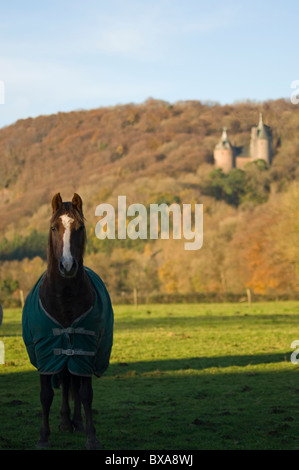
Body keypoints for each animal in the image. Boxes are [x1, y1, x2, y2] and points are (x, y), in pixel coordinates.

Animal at [22, 193, 113, 450]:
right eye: (54, 227)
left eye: (80, 227)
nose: (68, 266)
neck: (64, 299)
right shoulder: (45, 351)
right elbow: (46, 395)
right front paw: (44, 438)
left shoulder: (85, 349)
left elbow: (85, 393)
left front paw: (91, 436)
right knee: (64, 380)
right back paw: (64, 422)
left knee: (73, 383)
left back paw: (76, 423)